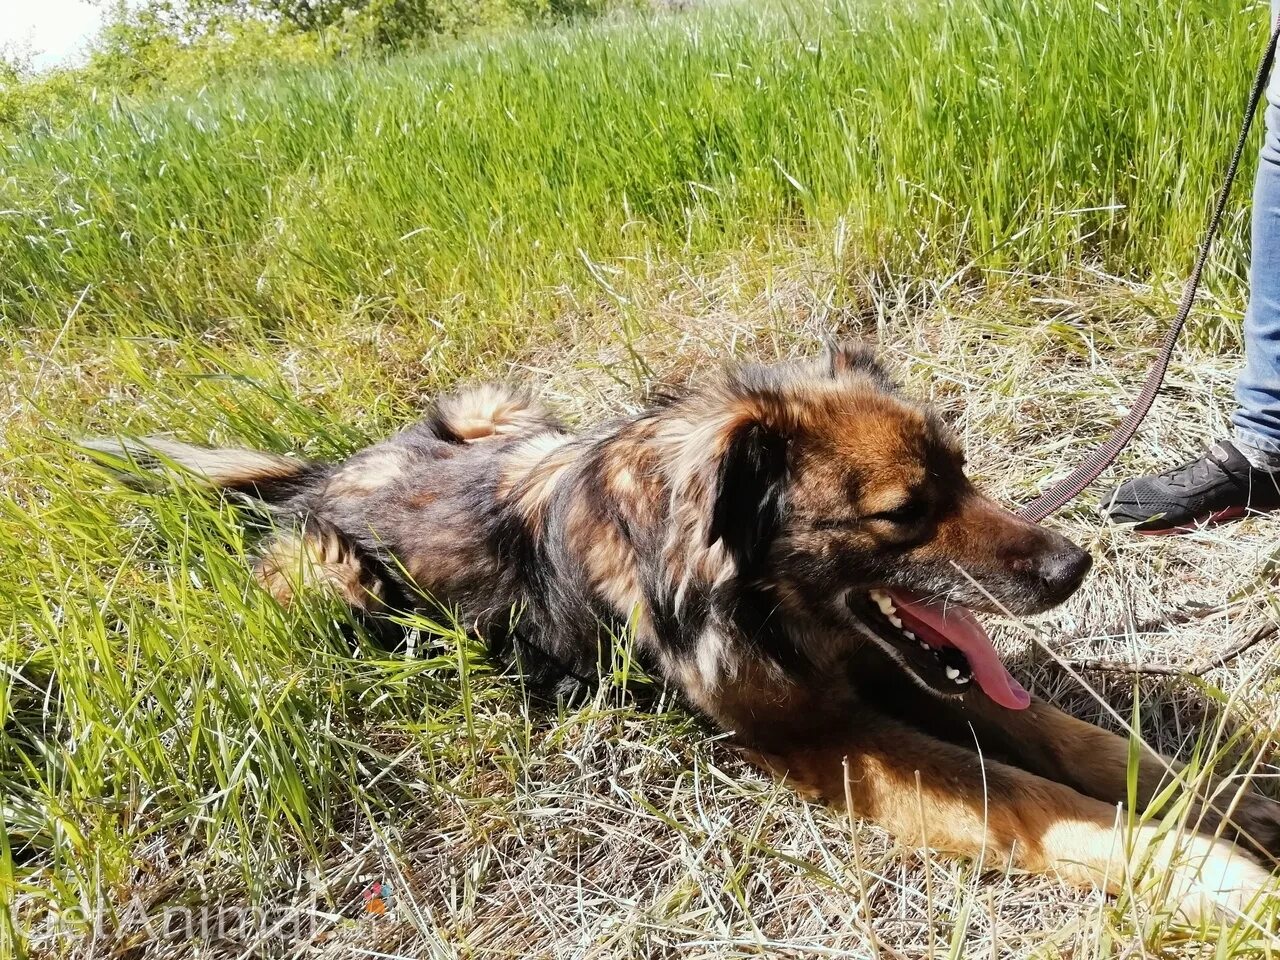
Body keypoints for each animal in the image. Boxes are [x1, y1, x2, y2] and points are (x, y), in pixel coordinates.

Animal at [90, 343, 1280, 916]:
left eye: (963, 472)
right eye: (904, 511)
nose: (1073, 567)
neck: (755, 596)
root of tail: (320, 482)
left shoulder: (879, 676)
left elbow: (1073, 739)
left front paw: (1221, 792)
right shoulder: (822, 736)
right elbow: (1036, 797)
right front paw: (1209, 879)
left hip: (501, 407)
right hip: (327, 581)